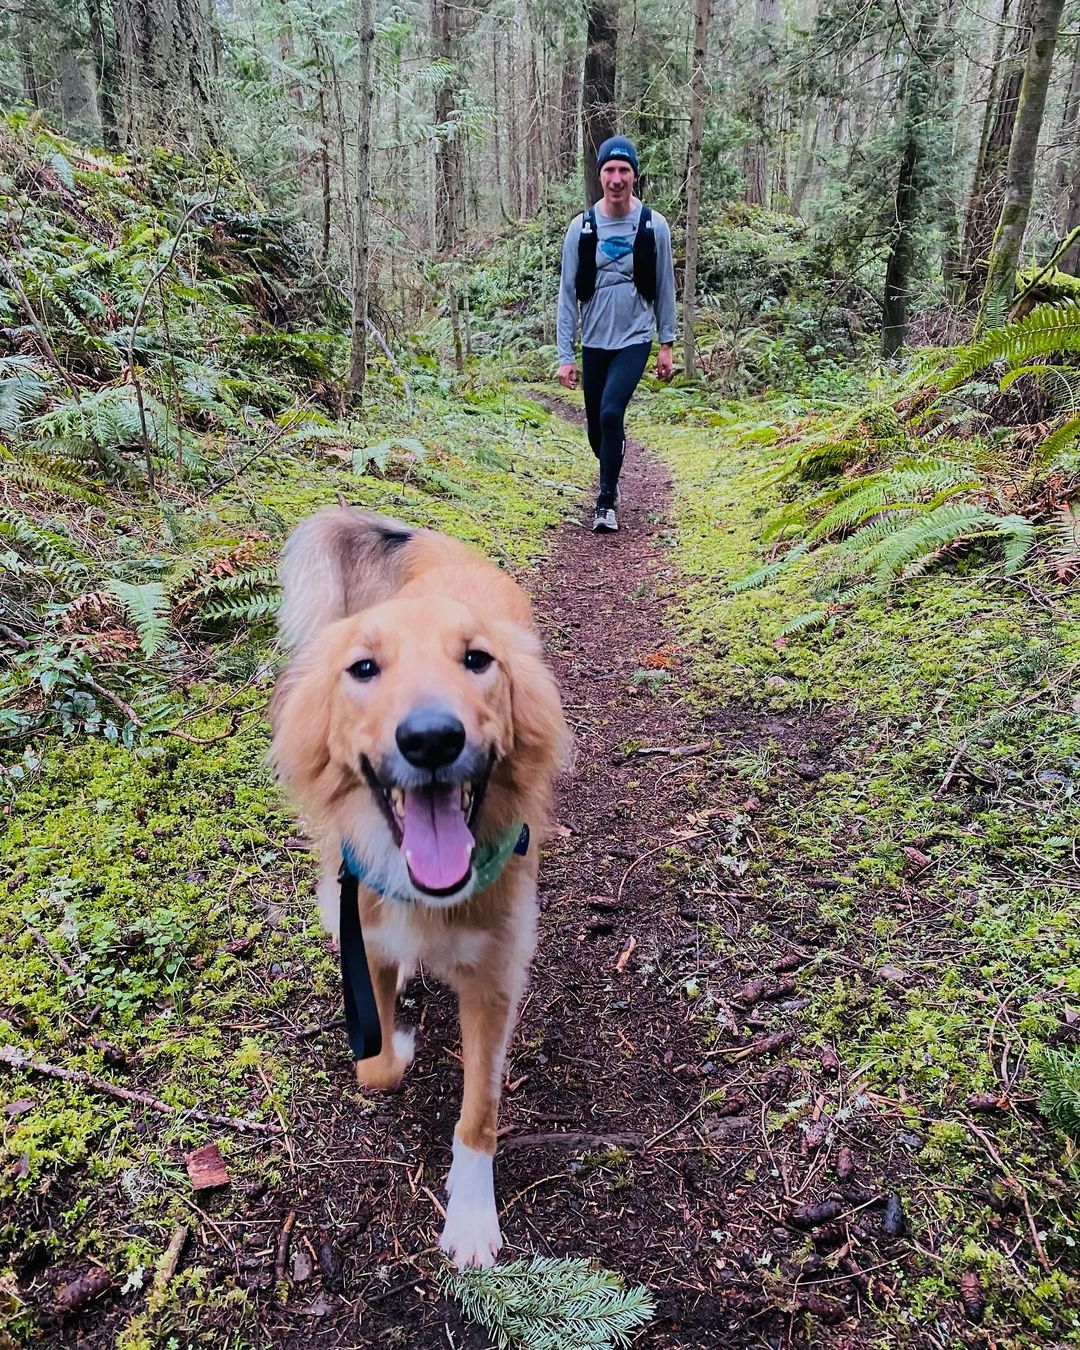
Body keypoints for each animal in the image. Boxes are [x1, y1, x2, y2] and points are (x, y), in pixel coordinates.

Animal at [268, 507, 569, 1263]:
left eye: (478, 660)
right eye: (363, 669)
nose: (431, 738)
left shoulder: (495, 981)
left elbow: (479, 1112)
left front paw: (471, 1213)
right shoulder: (362, 934)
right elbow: (374, 1065)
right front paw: (396, 1042)